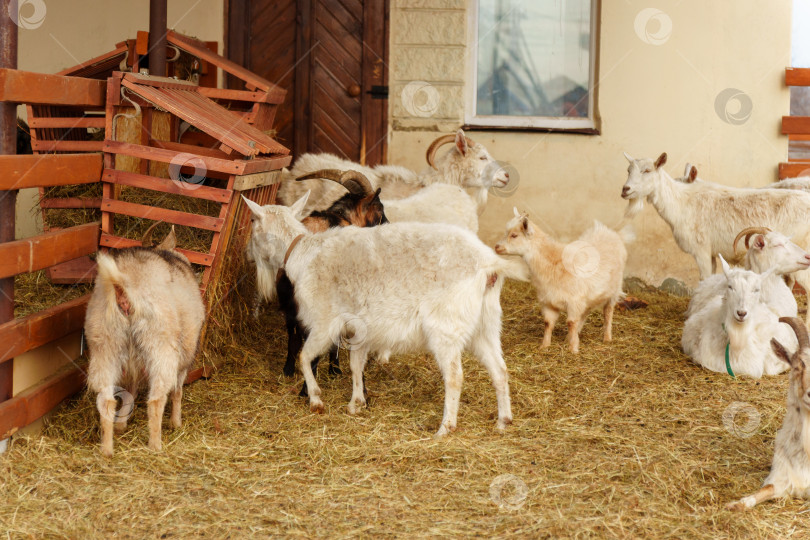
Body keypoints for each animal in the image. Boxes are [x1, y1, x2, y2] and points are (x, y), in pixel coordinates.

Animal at [84, 227, 205, 456]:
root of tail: (122, 289)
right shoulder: (184, 355)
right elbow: (178, 391)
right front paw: (176, 422)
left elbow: (130, 390)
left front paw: (122, 424)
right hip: (159, 347)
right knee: (156, 399)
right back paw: (155, 445)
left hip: (105, 346)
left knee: (106, 400)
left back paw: (107, 449)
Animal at [243, 192, 528, 436]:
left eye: (253, 223)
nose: (246, 253)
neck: (302, 253)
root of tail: (489, 264)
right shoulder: (360, 327)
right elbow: (356, 364)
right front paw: (356, 403)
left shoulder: (324, 322)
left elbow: (305, 356)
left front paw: (315, 399)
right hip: (486, 323)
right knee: (499, 369)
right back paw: (503, 421)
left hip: (446, 327)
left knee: (455, 376)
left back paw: (445, 428)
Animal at [490, 210, 628, 354]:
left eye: (514, 235)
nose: (497, 247)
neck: (554, 262)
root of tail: (611, 232)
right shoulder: (549, 302)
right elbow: (548, 323)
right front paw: (544, 346)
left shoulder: (574, 302)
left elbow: (571, 322)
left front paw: (573, 349)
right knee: (586, 312)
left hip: (614, 290)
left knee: (608, 312)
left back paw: (607, 338)